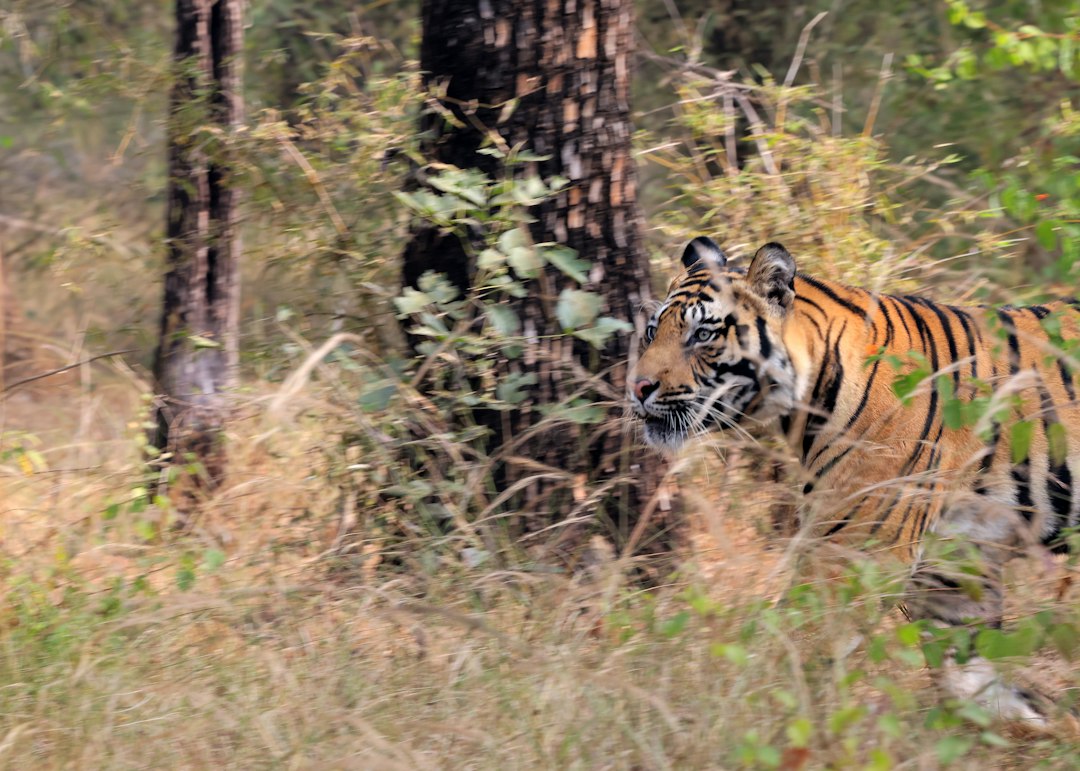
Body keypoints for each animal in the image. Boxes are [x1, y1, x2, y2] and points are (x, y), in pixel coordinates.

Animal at [628, 236, 1080, 731]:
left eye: (703, 335)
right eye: (652, 332)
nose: (637, 387)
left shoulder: (853, 553)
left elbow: (794, 652)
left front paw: (748, 721)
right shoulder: (955, 567)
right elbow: (974, 680)